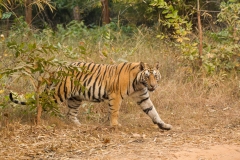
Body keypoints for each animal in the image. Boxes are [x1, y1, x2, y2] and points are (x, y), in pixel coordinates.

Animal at [8, 62, 172, 131]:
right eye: (147, 76)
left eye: (156, 76)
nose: (153, 86)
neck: (139, 84)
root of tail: (57, 68)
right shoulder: (115, 95)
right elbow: (114, 112)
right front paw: (115, 125)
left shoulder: (143, 97)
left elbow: (153, 112)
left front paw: (164, 125)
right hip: (59, 92)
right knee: (42, 102)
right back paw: (38, 121)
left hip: (75, 98)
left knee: (71, 114)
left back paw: (78, 126)